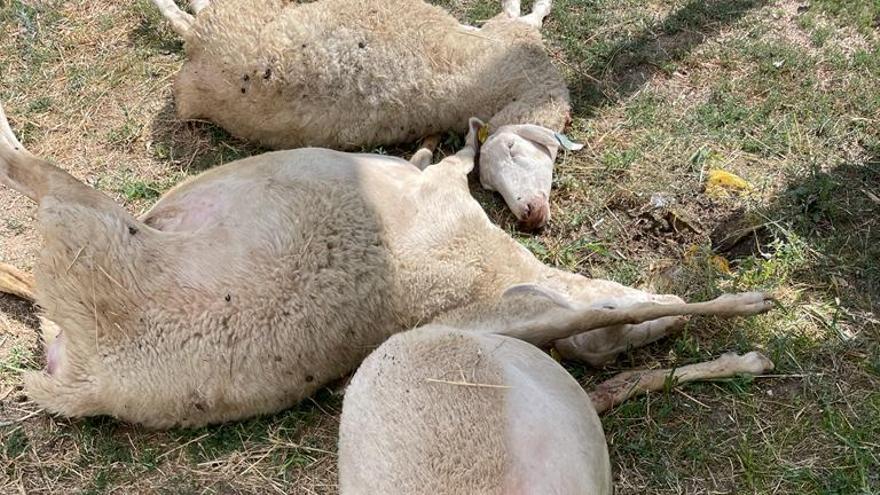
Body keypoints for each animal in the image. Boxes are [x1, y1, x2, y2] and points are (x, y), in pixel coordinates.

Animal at [0, 102, 772, 428]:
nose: (532, 213)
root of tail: (87, 379)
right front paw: (744, 322)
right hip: (87, 222)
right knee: (20, 167)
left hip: (83, 229)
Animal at [153, 0, 572, 231]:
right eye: (511, 150)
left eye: (487, 186)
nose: (532, 216)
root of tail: (196, 62)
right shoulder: (508, 37)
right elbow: (521, 15)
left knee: (191, 16)